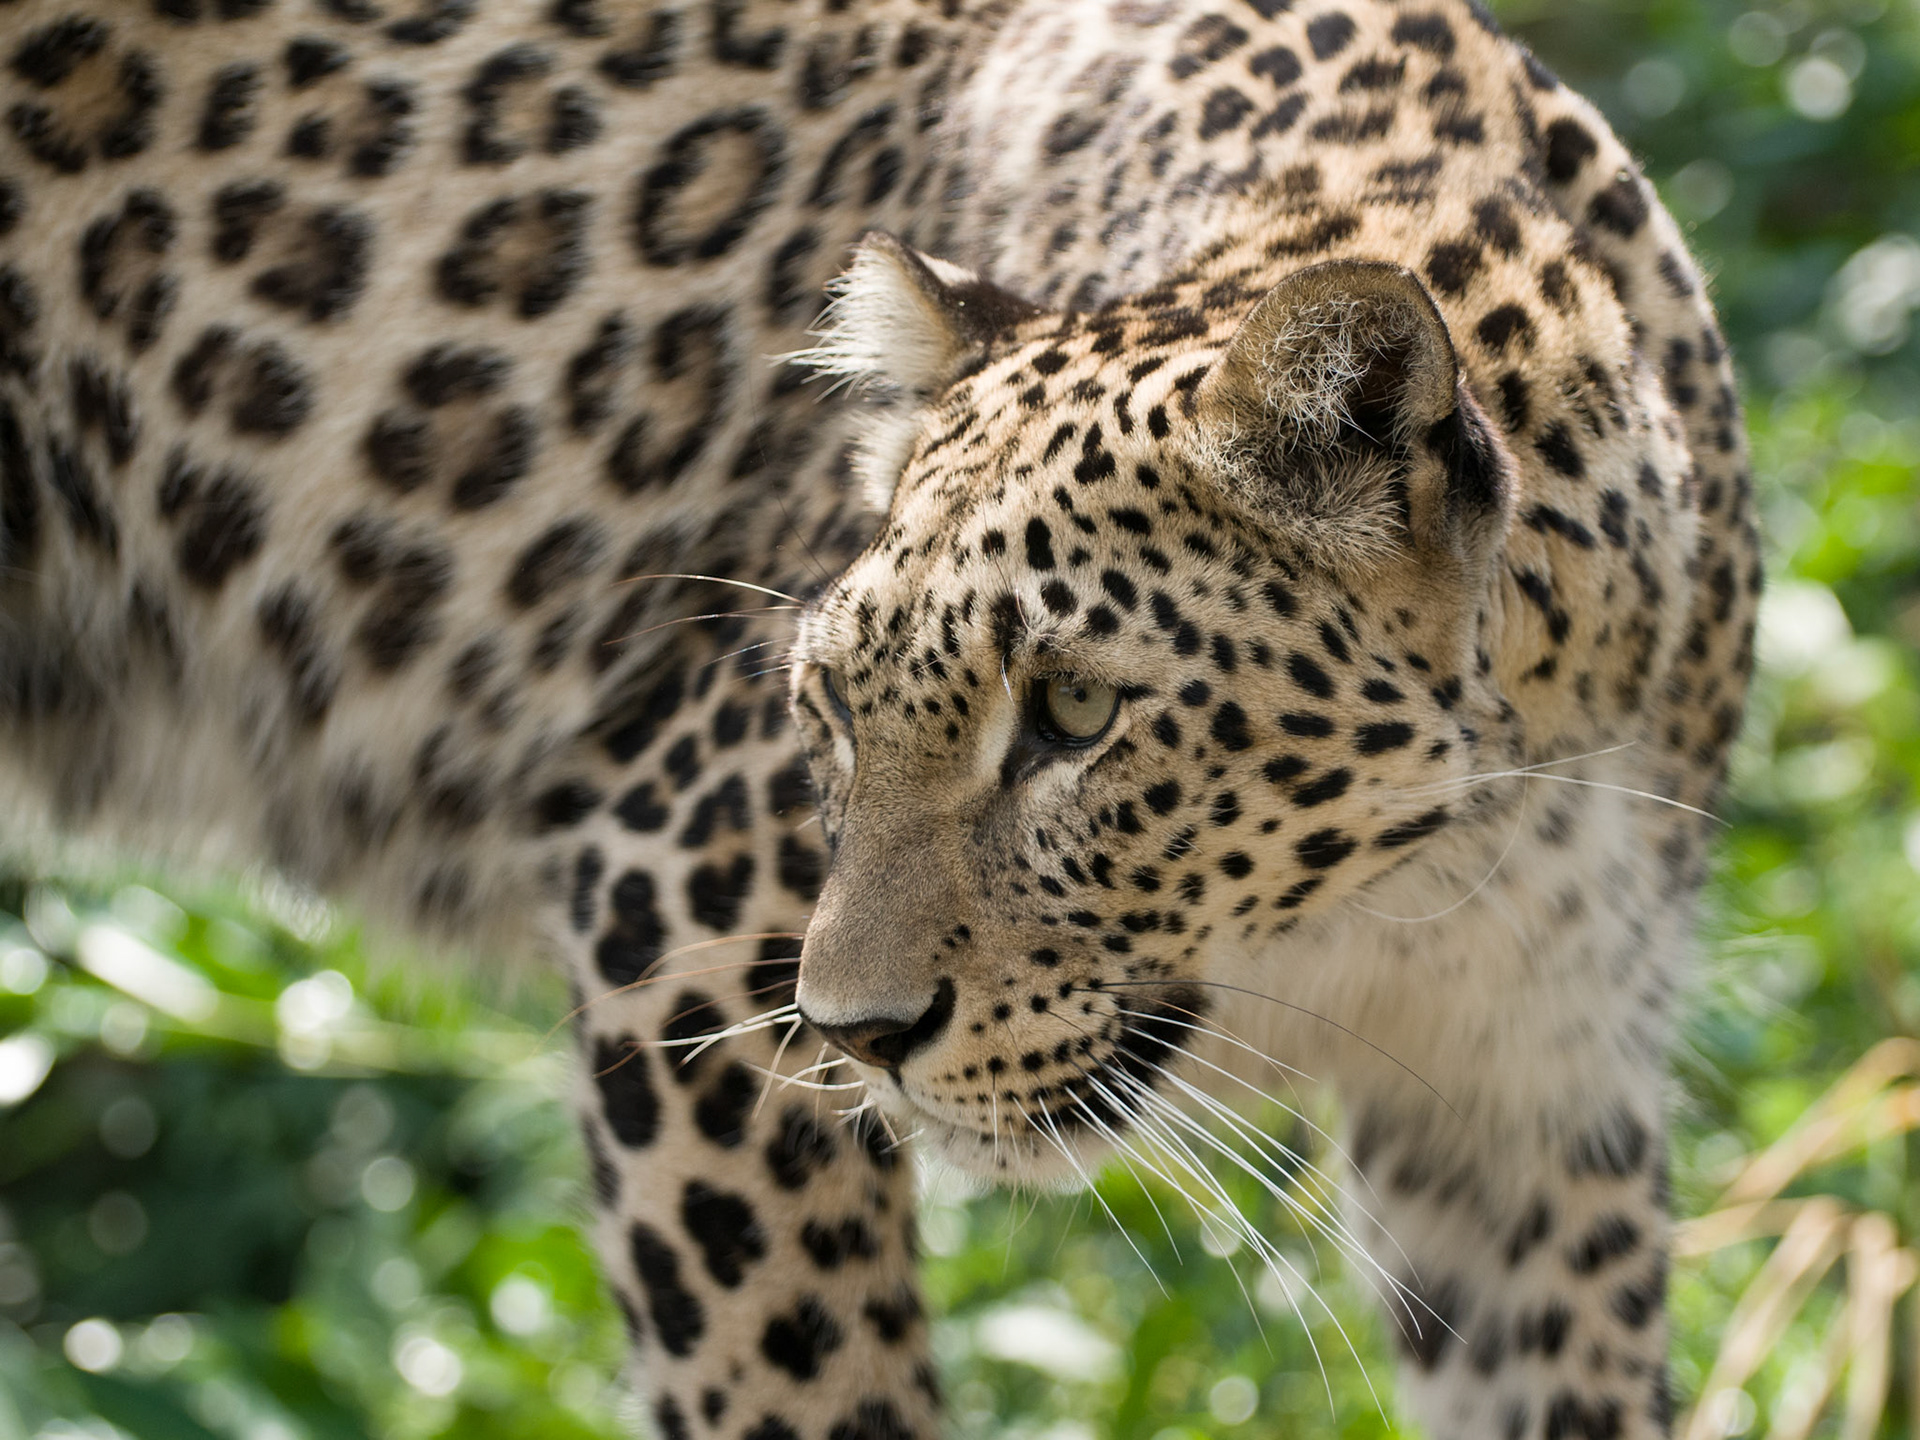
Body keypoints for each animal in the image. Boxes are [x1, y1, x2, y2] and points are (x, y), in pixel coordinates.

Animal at [0, 0, 1761, 1437]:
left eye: (1073, 713)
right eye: (834, 709)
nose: (860, 1036)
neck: (1441, 873)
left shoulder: (1539, 1102)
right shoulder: (682, 919)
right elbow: (803, 1389)